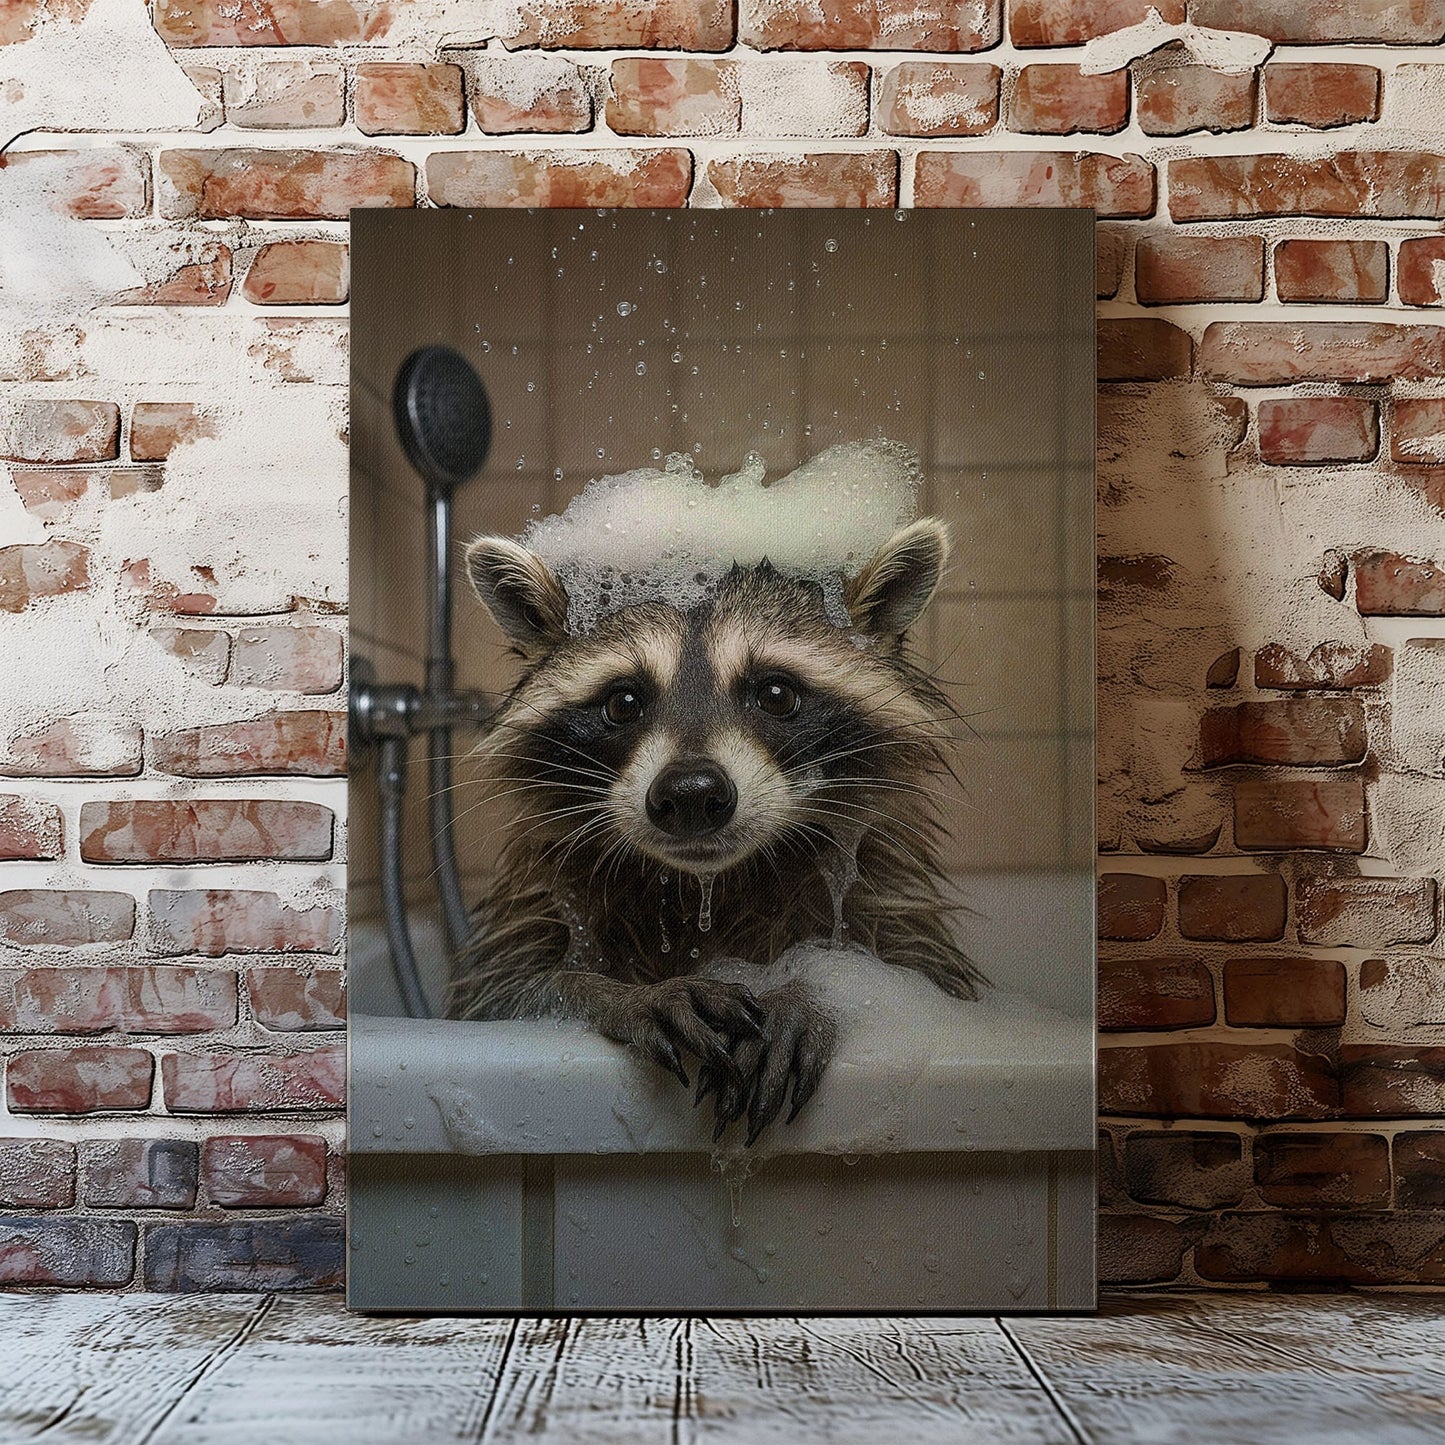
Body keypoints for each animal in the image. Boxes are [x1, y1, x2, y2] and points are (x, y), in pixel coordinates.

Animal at [450, 518, 981, 1146]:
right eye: (623, 702)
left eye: (776, 693)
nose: (691, 795)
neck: (708, 883)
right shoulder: (539, 900)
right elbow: (508, 994)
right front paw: (616, 993)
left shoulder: (886, 889)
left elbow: (902, 975)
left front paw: (809, 994)